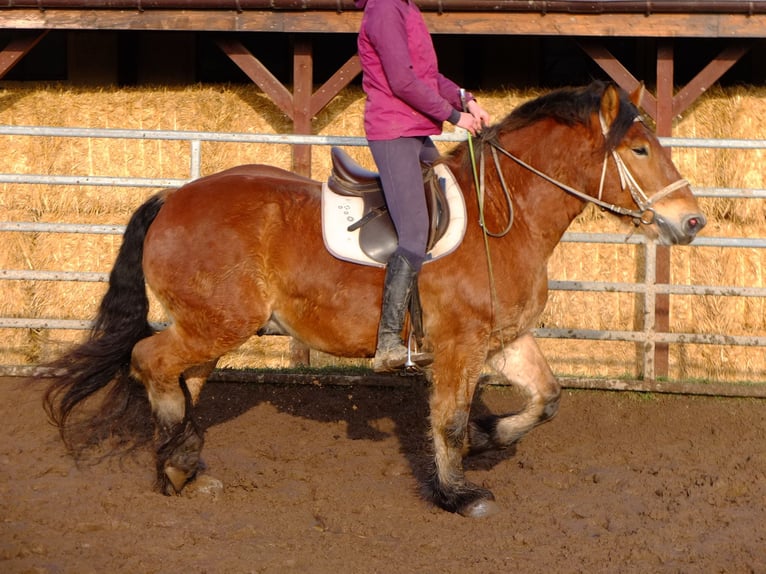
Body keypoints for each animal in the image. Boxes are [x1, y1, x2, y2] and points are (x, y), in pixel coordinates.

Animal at [45, 82, 708, 520]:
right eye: (641, 150)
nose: (693, 221)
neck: (505, 215)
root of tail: (175, 198)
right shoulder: (461, 345)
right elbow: (450, 419)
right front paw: (457, 494)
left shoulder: (504, 340)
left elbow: (546, 399)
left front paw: (492, 435)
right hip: (218, 323)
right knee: (151, 362)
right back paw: (179, 465)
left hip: (210, 326)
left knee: (182, 379)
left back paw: (182, 465)